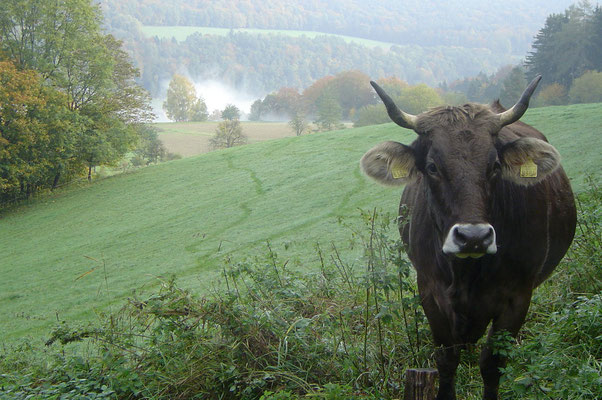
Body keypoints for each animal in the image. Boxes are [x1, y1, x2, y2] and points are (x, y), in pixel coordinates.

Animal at [358, 76, 576, 400]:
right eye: (432, 167)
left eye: (495, 166)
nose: (473, 236)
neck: (467, 273)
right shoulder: (430, 291)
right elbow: (447, 360)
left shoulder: (518, 296)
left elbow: (492, 364)